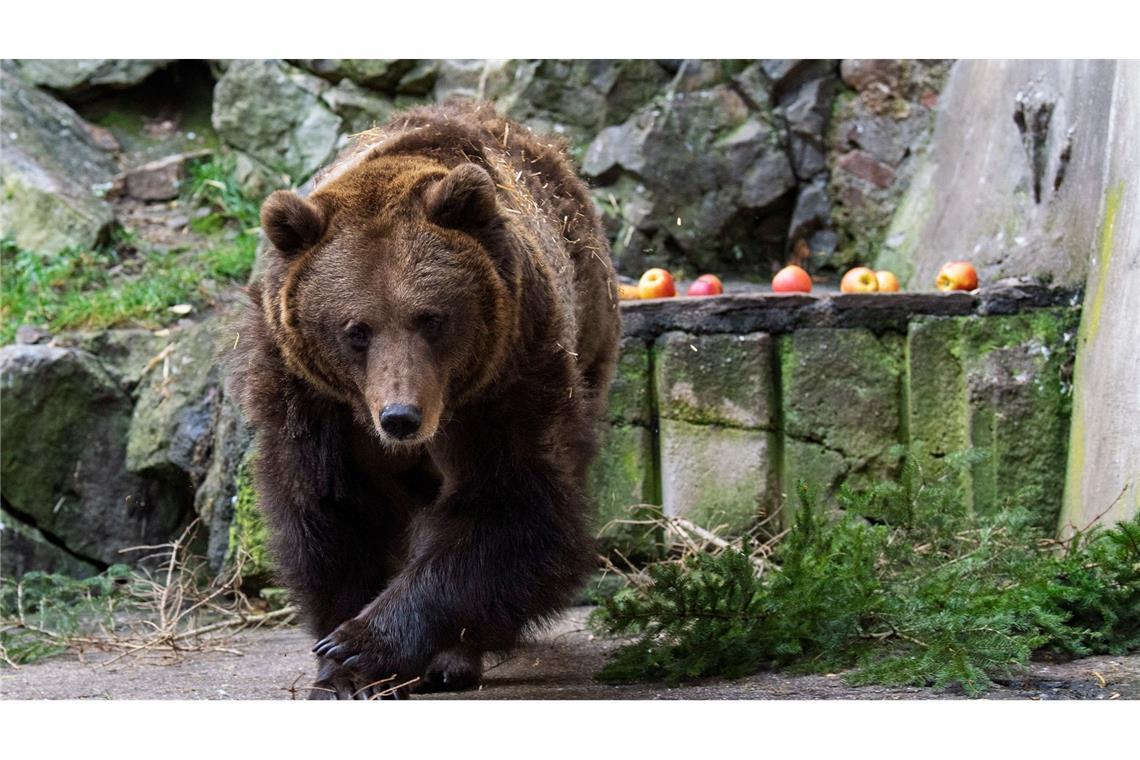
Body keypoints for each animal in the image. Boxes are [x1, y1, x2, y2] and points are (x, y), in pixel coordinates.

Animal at [230, 102, 620, 701]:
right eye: (357, 330)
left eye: (431, 319)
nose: (401, 418)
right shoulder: (312, 397)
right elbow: (333, 510)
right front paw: (339, 670)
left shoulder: (506, 381)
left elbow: (507, 507)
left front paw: (363, 643)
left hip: (589, 341)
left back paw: (452, 660)